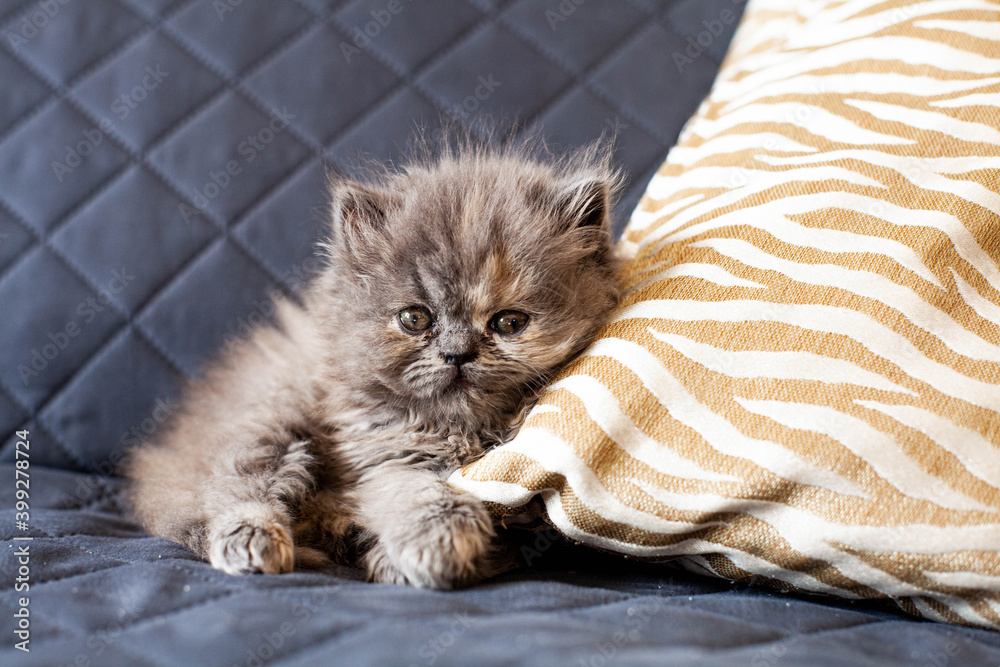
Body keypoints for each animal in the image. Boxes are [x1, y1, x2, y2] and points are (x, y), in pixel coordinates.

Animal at [124, 138, 620, 588]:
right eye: (415, 319)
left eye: (510, 323)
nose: (457, 354)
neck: (459, 432)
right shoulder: (382, 455)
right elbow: (415, 492)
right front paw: (440, 540)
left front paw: (404, 559)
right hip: (271, 417)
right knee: (230, 488)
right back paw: (254, 542)